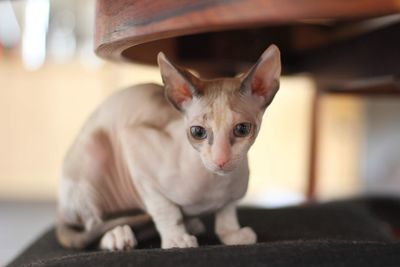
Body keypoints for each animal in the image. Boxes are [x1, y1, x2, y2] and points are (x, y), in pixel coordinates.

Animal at [56, 44, 282, 251]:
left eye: (242, 129)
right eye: (197, 132)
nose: (221, 160)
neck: (215, 183)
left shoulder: (234, 190)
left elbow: (227, 209)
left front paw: (232, 233)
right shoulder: (134, 144)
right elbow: (165, 209)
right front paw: (176, 239)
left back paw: (192, 223)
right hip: (93, 152)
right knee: (93, 224)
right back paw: (116, 235)